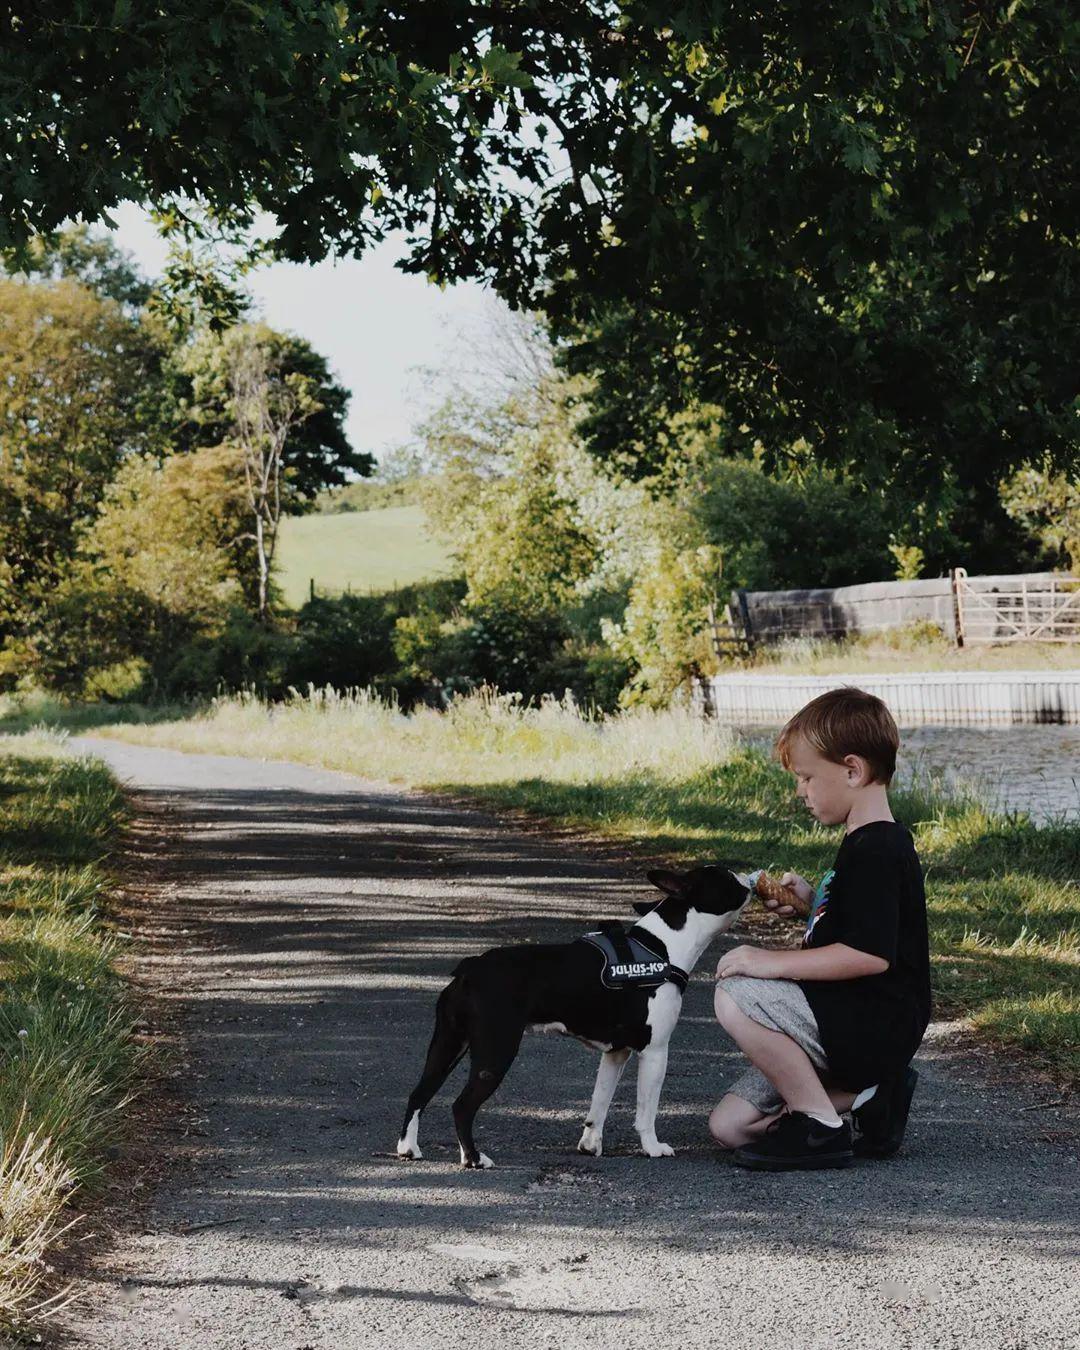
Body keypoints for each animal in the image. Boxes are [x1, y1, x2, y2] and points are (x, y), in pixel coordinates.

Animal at [396, 864, 750, 1171]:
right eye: (725, 877)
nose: (747, 877)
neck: (665, 946)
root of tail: (471, 969)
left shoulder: (615, 1053)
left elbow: (600, 1101)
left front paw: (591, 1144)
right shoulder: (654, 1051)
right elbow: (646, 1110)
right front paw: (652, 1148)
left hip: (448, 1044)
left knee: (419, 1092)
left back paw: (409, 1148)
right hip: (496, 1050)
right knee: (462, 1105)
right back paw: (473, 1158)